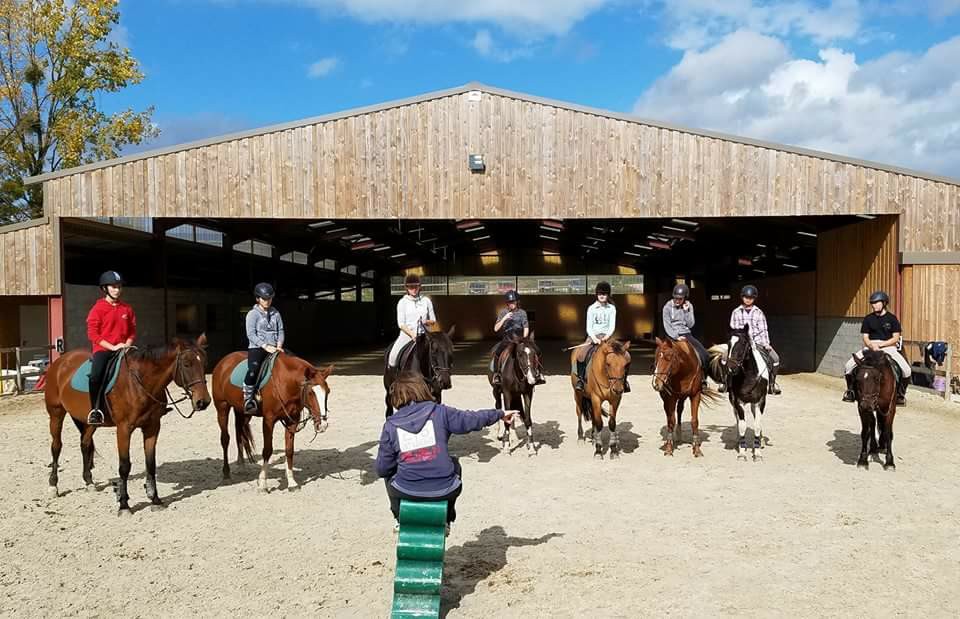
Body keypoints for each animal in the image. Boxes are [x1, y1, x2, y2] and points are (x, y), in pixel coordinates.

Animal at [43, 336, 212, 516]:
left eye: (204, 363)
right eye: (186, 364)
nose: (203, 402)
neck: (139, 383)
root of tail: (61, 360)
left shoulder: (152, 427)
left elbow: (150, 463)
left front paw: (155, 499)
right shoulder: (124, 429)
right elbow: (124, 466)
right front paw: (124, 504)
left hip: (90, 422)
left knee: (85, 444)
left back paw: (89, 482)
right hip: (56, 414)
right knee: (56, 447)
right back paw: (53, 486)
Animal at [210, 352, 334, 492]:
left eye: (328, 391)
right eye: (310, 392)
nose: (323, 425)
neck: (286, 382)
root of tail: (224, 361)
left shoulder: (292, 420)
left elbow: (289, 450)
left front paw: (292, 482)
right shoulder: (268, 421)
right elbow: (267, 450)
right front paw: (263, 484)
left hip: (242, 412)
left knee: (239, 435)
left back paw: (241, 465)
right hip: (222, 408)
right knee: (225, 439)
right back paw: (226, 473)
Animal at [712, 324, 772, 460]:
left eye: (744, 343)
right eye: (729, 343)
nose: (731, 368)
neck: (749, 376)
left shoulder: (760, 401)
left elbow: (757, 424)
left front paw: (757, 452)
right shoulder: (738, 401)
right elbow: (742, 425)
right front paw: (742, 452)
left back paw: (761, 441)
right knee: (737, 419)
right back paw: (738, 441)